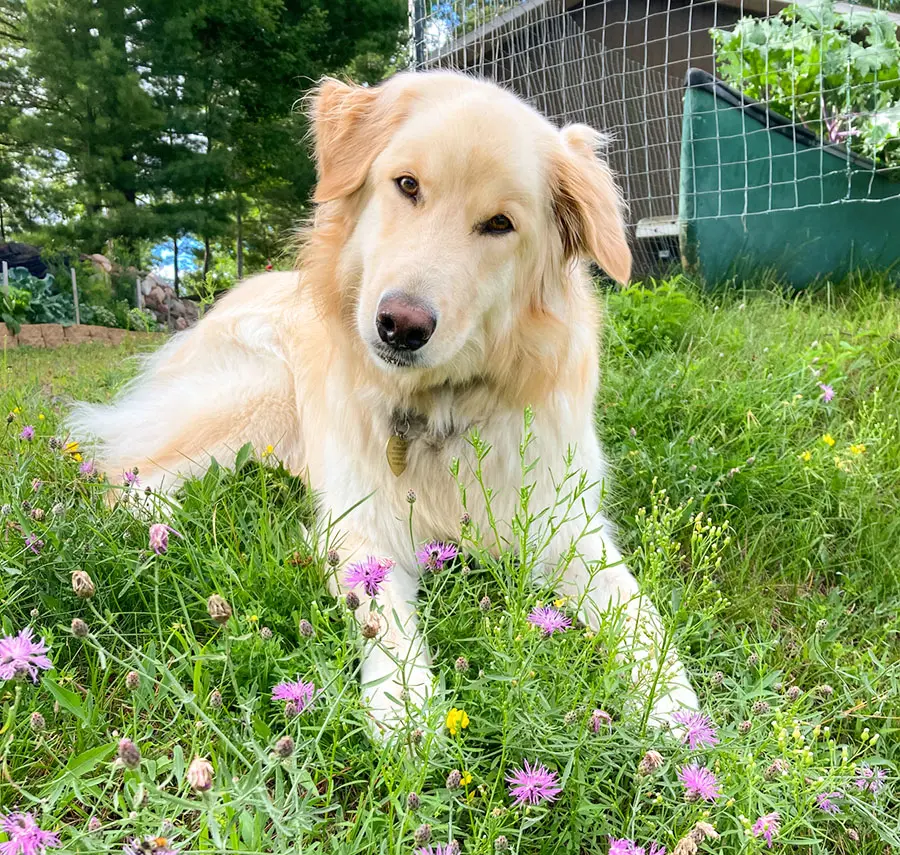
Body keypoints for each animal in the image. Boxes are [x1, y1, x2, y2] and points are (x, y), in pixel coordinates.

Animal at [74, 68, 700, 736]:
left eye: (499, 224)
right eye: (407, 186)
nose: (401, 326)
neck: (439, 411)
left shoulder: (571, 526)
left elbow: (637, 611)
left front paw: (677, 709)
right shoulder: (361, 527)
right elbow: (389, 623)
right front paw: (405, 707)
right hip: (259, 400)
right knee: (127, 479)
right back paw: (178, 527)